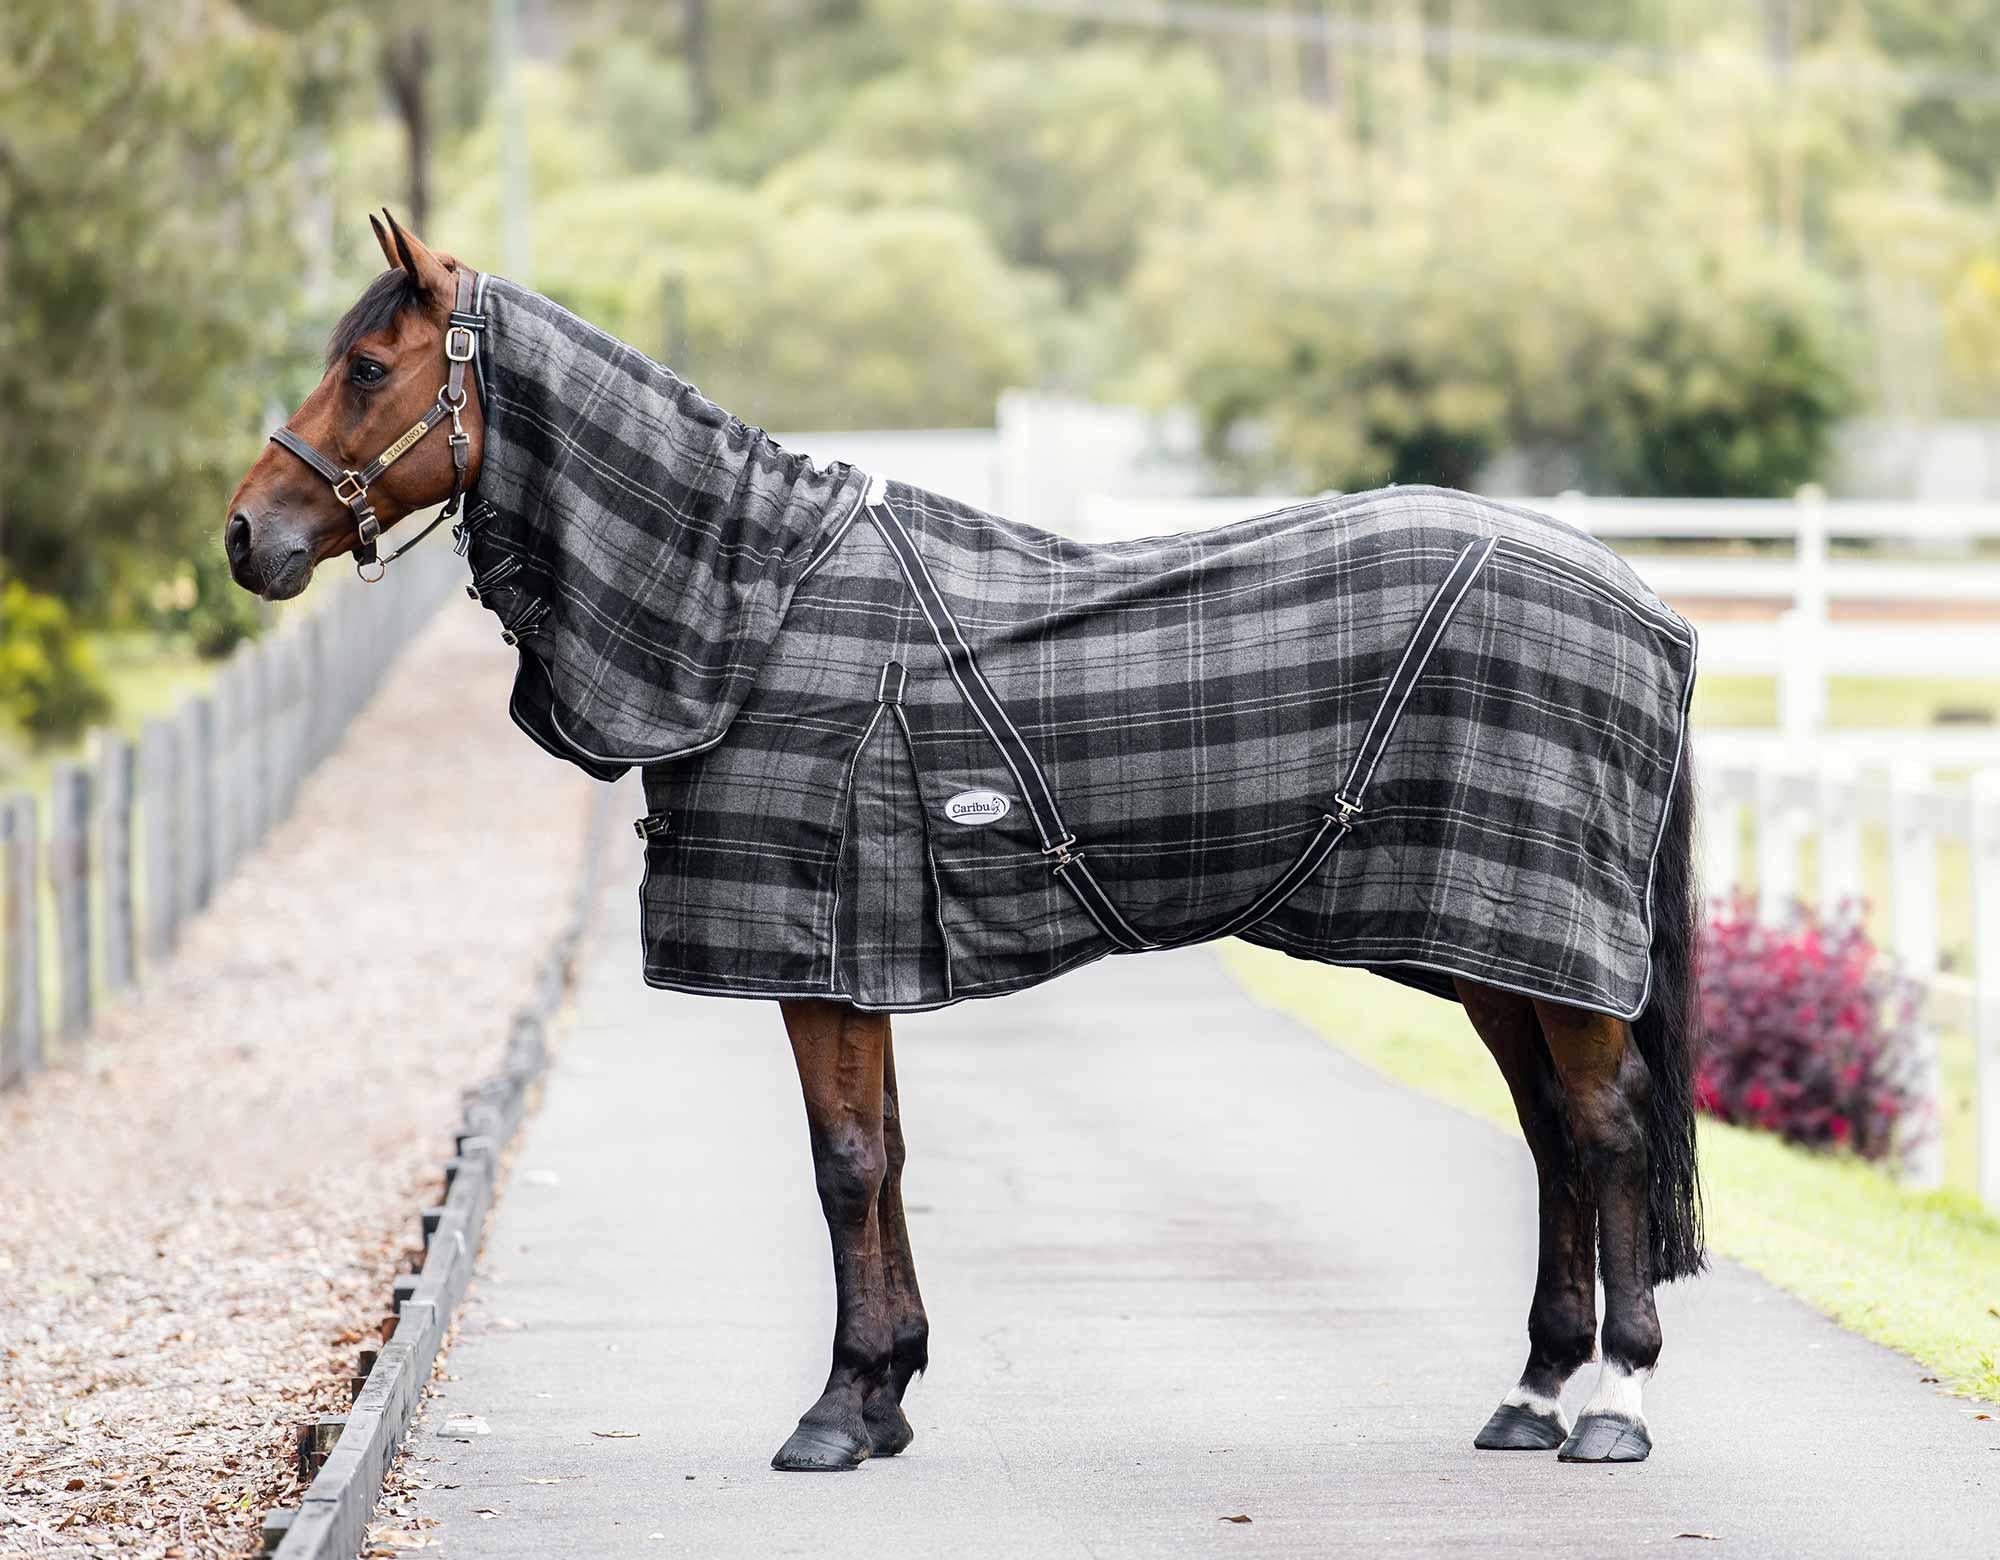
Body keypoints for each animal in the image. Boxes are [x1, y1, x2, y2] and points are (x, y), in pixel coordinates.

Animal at [225, 212, 1703, 1472]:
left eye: (368, 366)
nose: (248, 535)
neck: (761, 611)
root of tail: (1642, 599)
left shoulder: (820, 959)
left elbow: (845, 1166)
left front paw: (834, 1410)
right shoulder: (856, 960)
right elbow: (881, 1154)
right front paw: (885, 1392)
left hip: (1542, 948)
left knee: (1605, 1126)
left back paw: (1616, 1403)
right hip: (1490, 953)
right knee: (1554, 1134)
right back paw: (1531, 1392)